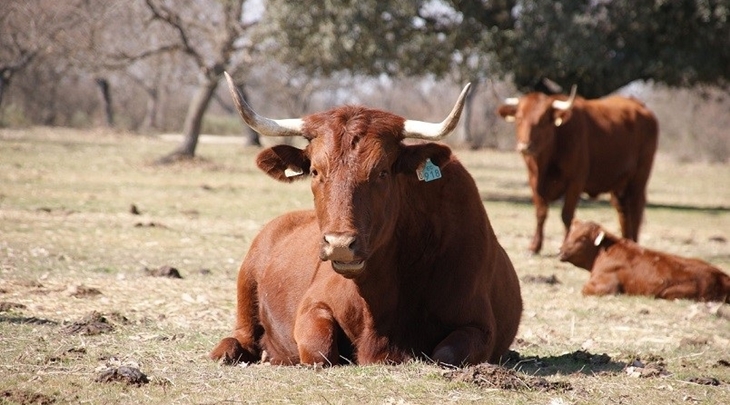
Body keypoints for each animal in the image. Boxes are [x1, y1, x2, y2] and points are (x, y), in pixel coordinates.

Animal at [210, 72, 524, 366]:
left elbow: (445, 354)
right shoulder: (312, 305)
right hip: (246, 286)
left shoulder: (479, 326)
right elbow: (319, 350)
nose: (339, 244)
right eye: (315, 171)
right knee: (241, 336)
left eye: (382, 172)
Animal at [494, 88, 660, 252]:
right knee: (623, 211)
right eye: (519, 118)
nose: (525, 146)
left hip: (639, 178)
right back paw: (627, 242)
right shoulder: (534, 181)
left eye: (543, 120)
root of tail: (640, 106)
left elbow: (567, 215)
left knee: (636, 208)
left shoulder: (575, 182)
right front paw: (534, 246)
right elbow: (541, 212)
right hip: (619, 184)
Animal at [556, 219, 728, 302]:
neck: (603, 252)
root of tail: (721, 276)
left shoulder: (604, 285)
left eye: (582, 238)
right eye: (570, 233)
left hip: (670, 292)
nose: (561, 251)